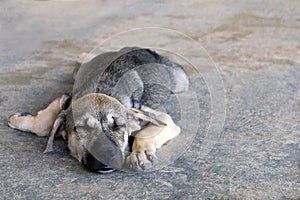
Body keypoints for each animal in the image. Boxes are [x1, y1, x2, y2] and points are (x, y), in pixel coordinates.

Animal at [7, 47, 188, 173]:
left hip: (181, 80)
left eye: (118, 126)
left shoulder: (162, 118)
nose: (105, 159)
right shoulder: (66, 98)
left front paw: (140, 152)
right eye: (82, 128)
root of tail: (143, 49)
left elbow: (147, 131)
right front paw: (20, 120)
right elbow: (43, 124)